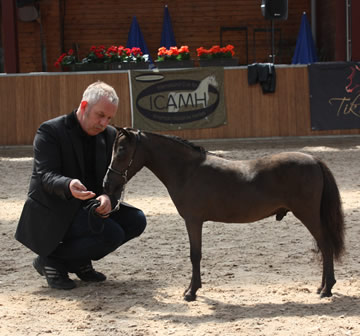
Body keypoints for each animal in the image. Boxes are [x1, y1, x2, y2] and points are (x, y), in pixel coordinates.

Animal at [102, 128, 344, 302]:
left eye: (121, 150)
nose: (107, 184)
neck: (187, 170)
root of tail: (314, 160)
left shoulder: (193, 221)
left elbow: (195, 255)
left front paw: (191, 292)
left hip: (308, 215)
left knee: (325, 245)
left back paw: (327, 289)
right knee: (323, 246)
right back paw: (321, 287)